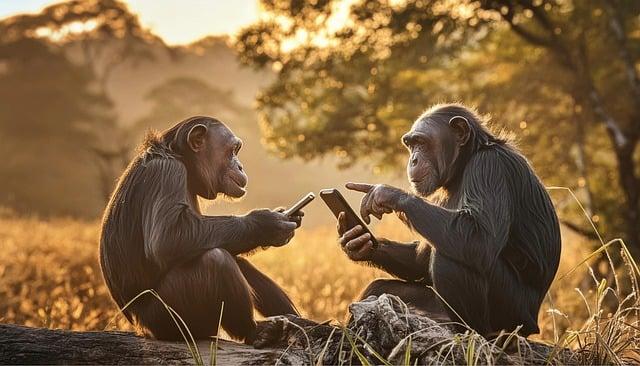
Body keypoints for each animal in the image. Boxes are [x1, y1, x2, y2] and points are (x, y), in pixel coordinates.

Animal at [99, 116, 302, 344]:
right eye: (233, 151)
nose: (240, 166)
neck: (183, 161)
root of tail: (141, 329)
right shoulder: (167, 172)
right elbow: (167, 238)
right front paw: (267, 224)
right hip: (169, 319)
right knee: (215, 260)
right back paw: (256, 331)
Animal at [340, 103, 560, 338]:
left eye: (422, 143)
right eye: (411, 145)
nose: (413, 159)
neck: (463, 165)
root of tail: (533, 324)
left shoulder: (490, 167)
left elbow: (479, 237)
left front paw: (384, 194)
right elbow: (420, 260)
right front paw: (357, 241)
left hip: (512, 314)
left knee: (453, 256)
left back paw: (476, 333)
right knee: (380, 287)